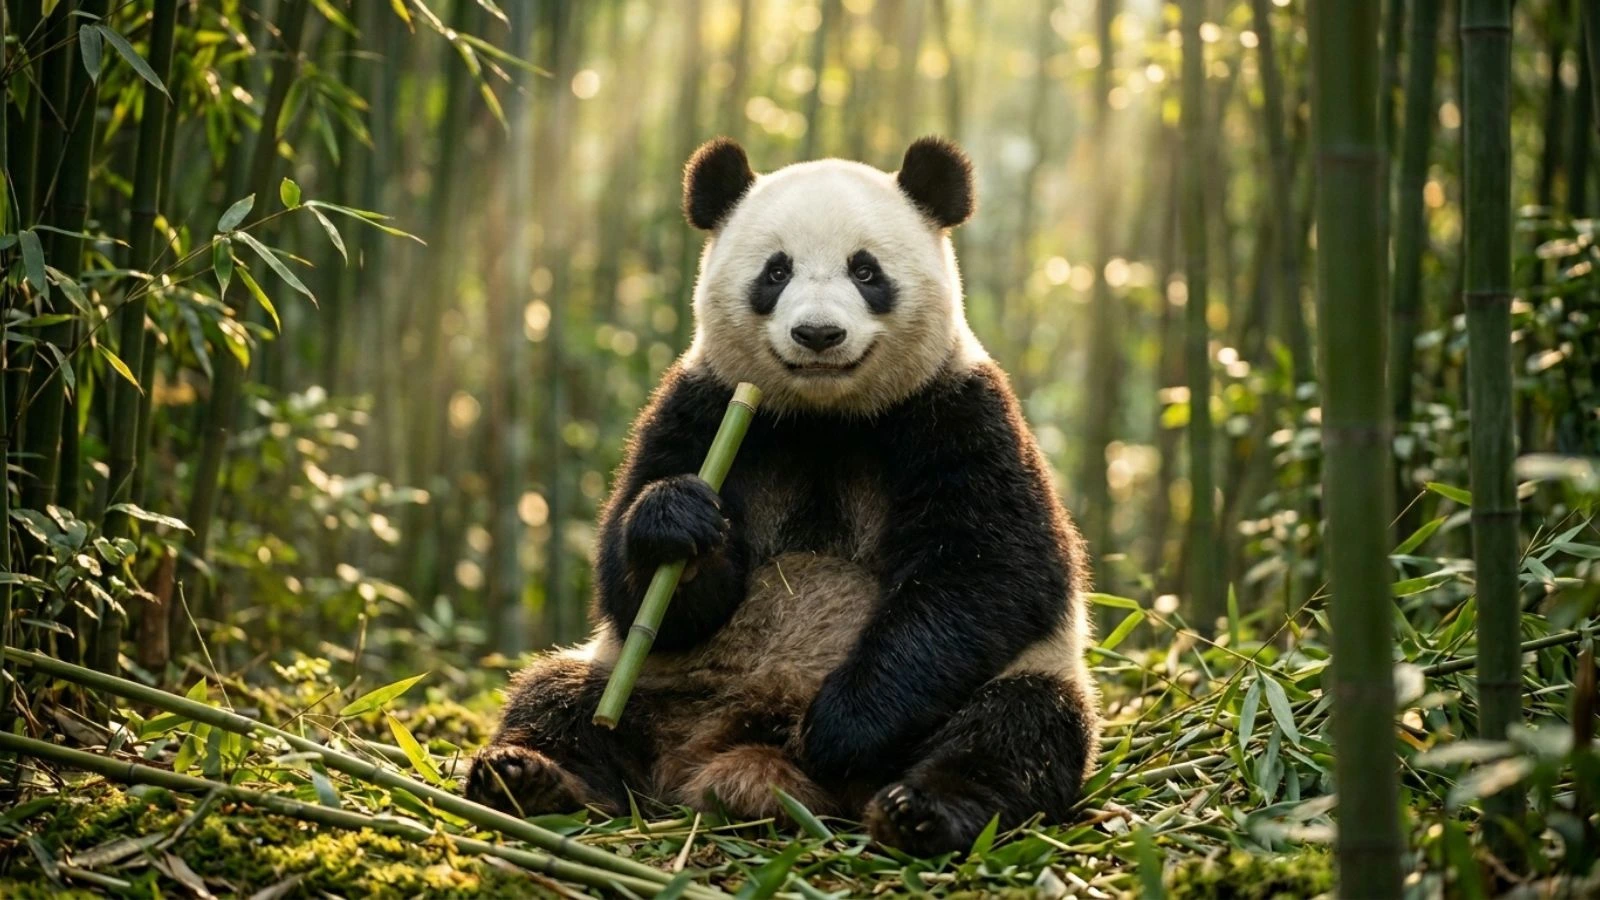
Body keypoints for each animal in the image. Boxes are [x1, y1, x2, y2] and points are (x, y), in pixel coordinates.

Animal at [466, 136, 1099, 856]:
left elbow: (993, 569)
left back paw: (920, 811)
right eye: (775, 272)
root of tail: (732, 756)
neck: (826, 418)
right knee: (556, 696)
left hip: (1022, 680)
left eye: (865, 270)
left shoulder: (959, 411)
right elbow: (638, 594)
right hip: (649, 681)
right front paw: (675, 520)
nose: (818, 334)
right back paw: (529, 778)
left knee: (1017, 729)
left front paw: (841, 727)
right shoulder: (704, 407)